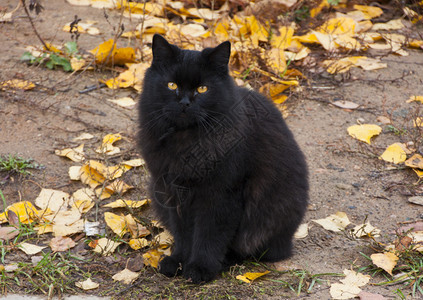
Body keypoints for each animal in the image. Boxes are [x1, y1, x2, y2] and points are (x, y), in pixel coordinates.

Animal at [139, 35, 308, 284]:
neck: (187, 140)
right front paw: (178, 261)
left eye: (203, 88)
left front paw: (200, 268)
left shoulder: (220, 194)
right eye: (172, 85)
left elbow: (209, 235)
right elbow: (183, 234)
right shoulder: (173, 190)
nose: (185, 103)